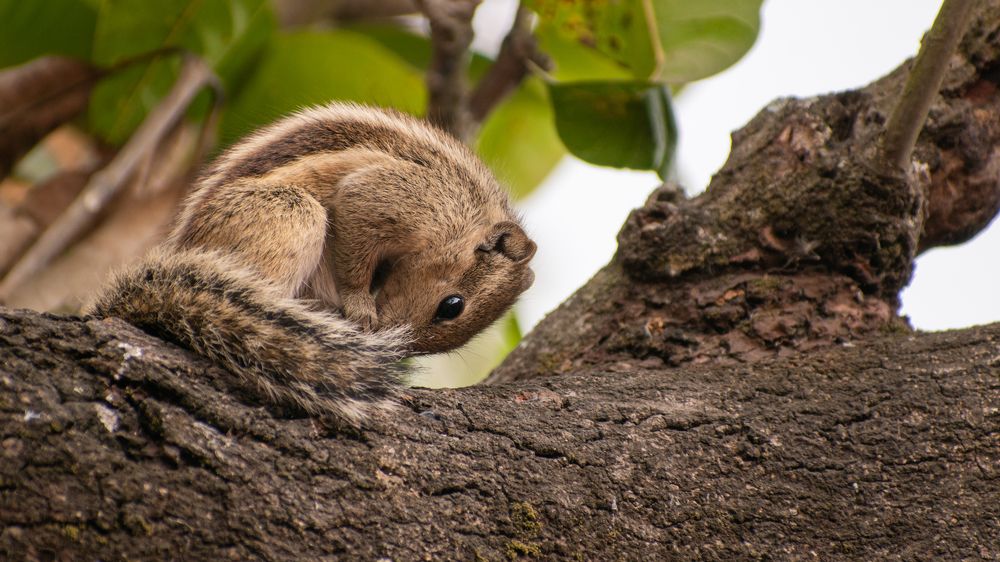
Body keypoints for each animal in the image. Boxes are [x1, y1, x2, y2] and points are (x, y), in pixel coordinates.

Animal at [87, 102, 536, 424]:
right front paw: (358, 306)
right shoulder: (393, 199)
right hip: (293, 216)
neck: (467, 219)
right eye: (451, 306)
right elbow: (355, 240)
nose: (390, 340)